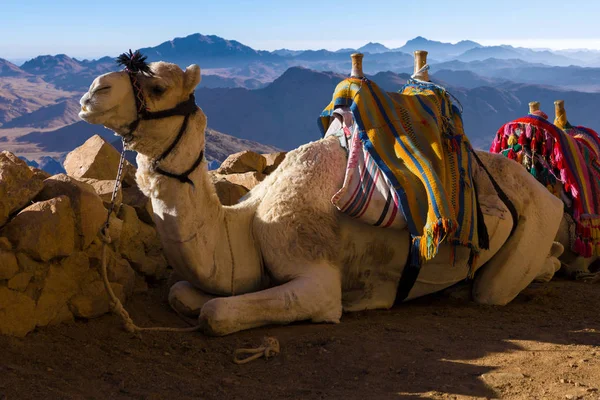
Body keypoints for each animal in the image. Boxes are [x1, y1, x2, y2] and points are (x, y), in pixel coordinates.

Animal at [77, 50, 564, 338]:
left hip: (539, 216)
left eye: (158, 86)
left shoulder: (315, 277)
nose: (92, 92)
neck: (246, 226)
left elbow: (216, 314)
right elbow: (183, 293)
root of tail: (545, 189)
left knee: (497, 286)